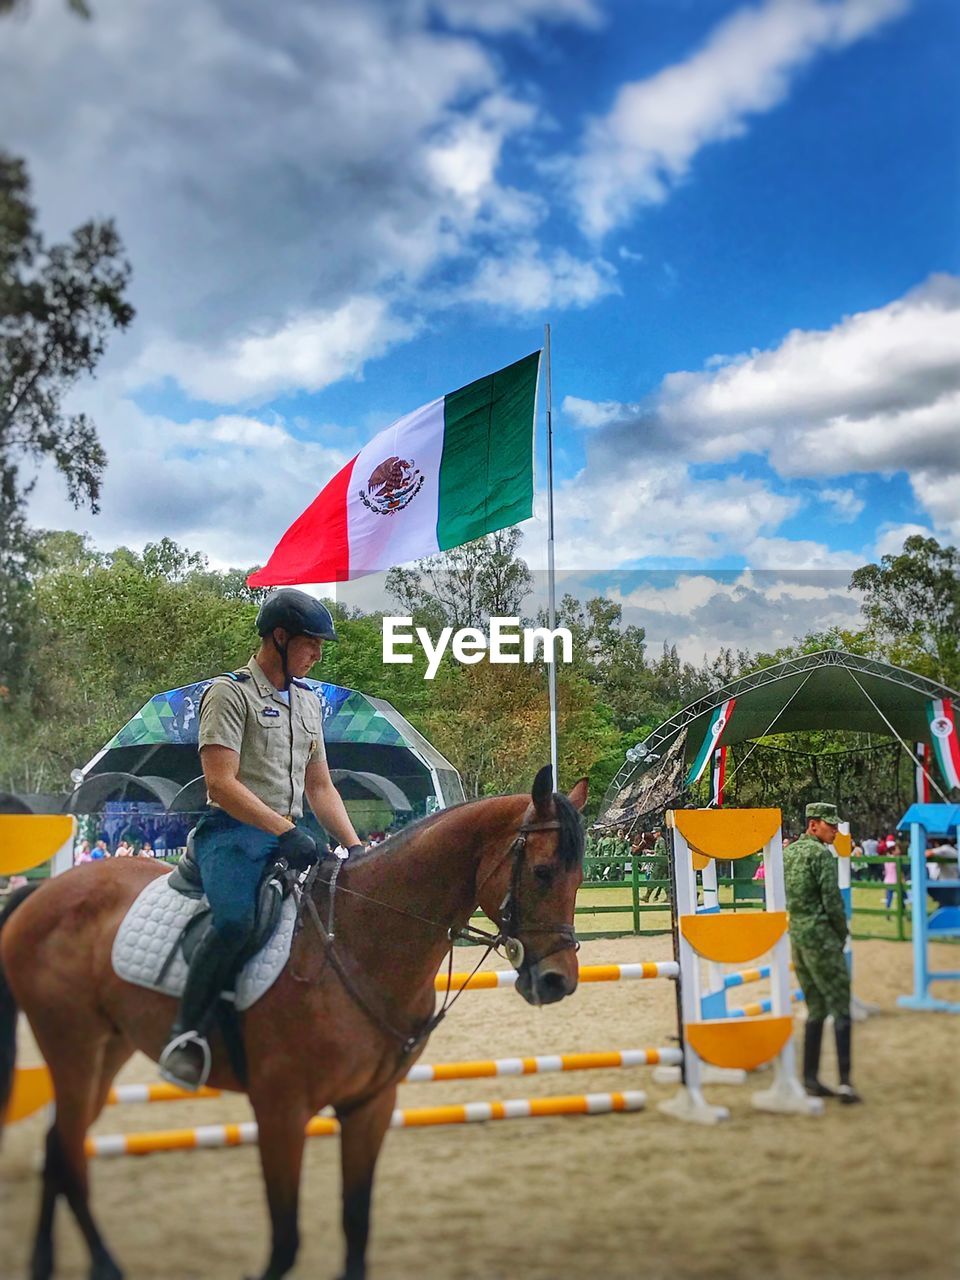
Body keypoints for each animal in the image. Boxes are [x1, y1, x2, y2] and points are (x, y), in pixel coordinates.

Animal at [0, 768, 591, 1280]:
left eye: (580, 877)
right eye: (542, 873)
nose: (557, 981)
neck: (357, 942)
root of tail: (44, 892)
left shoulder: (370, 1105)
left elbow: (356, 1224)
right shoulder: (281, 1110)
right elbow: (285, 1241)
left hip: (109, 1048)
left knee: (59, 1145)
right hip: (73, 1047)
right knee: (68, 1149)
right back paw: (104, 1264)